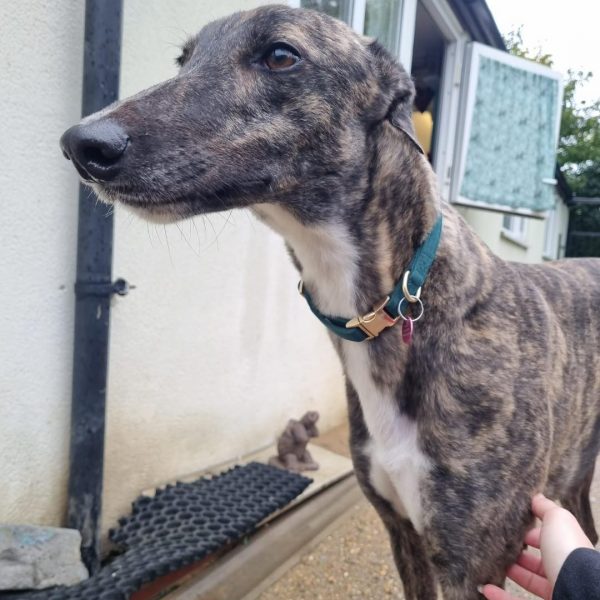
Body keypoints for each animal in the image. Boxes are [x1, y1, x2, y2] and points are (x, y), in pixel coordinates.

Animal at [60, 5, 600, 598]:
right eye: (185, 59)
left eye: (280, 55)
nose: (82, 144)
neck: (400, 300)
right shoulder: (402, 531)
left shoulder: (473, 564)